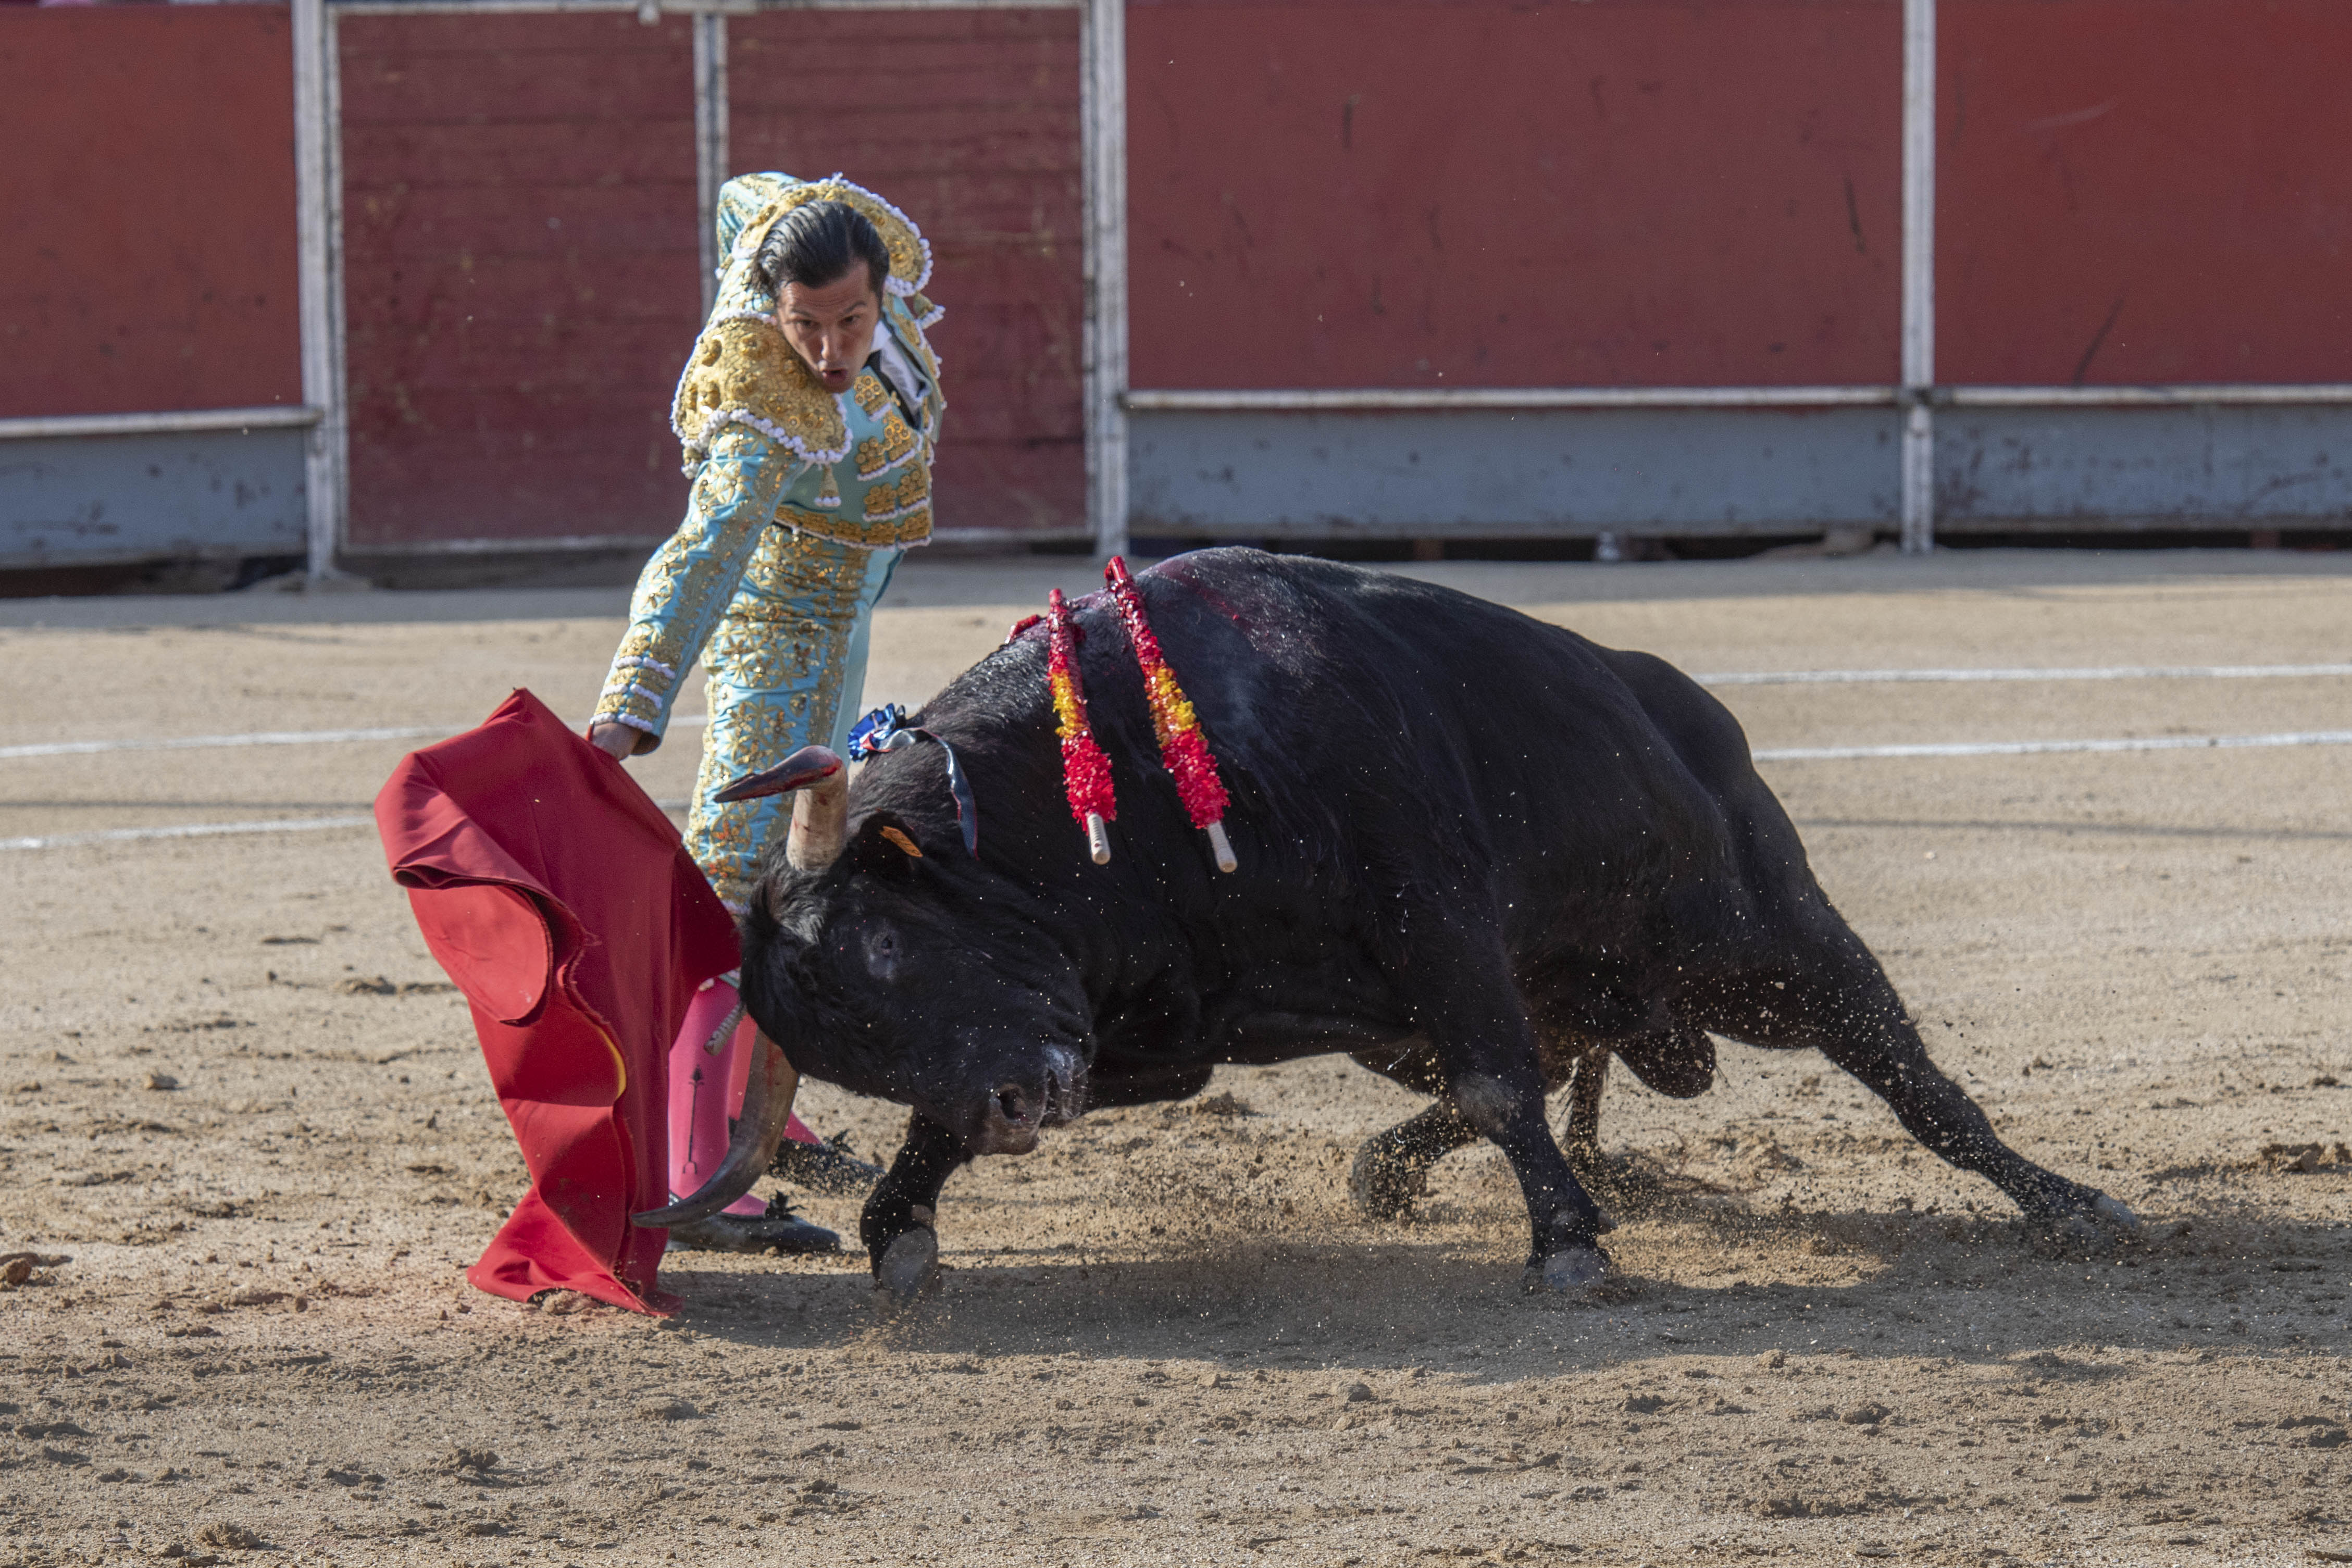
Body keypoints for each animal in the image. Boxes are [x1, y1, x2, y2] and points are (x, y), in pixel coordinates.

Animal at [640, 545, 2135, 1298]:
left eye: (892, 948)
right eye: (846, 1044)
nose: (1022, 1111)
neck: (1117, 771)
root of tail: (1681, 703)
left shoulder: (1438, 916)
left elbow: (1497, 1082)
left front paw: (1570, 1247)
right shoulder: (1132, 1029)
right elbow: (931, 1132)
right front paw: (897, 1224)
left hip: (1763, 947)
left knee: (1911, 1078)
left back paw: (2072, 1205)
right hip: (1541, 1000)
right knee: (1531, 1066)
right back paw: (1391, 1166)